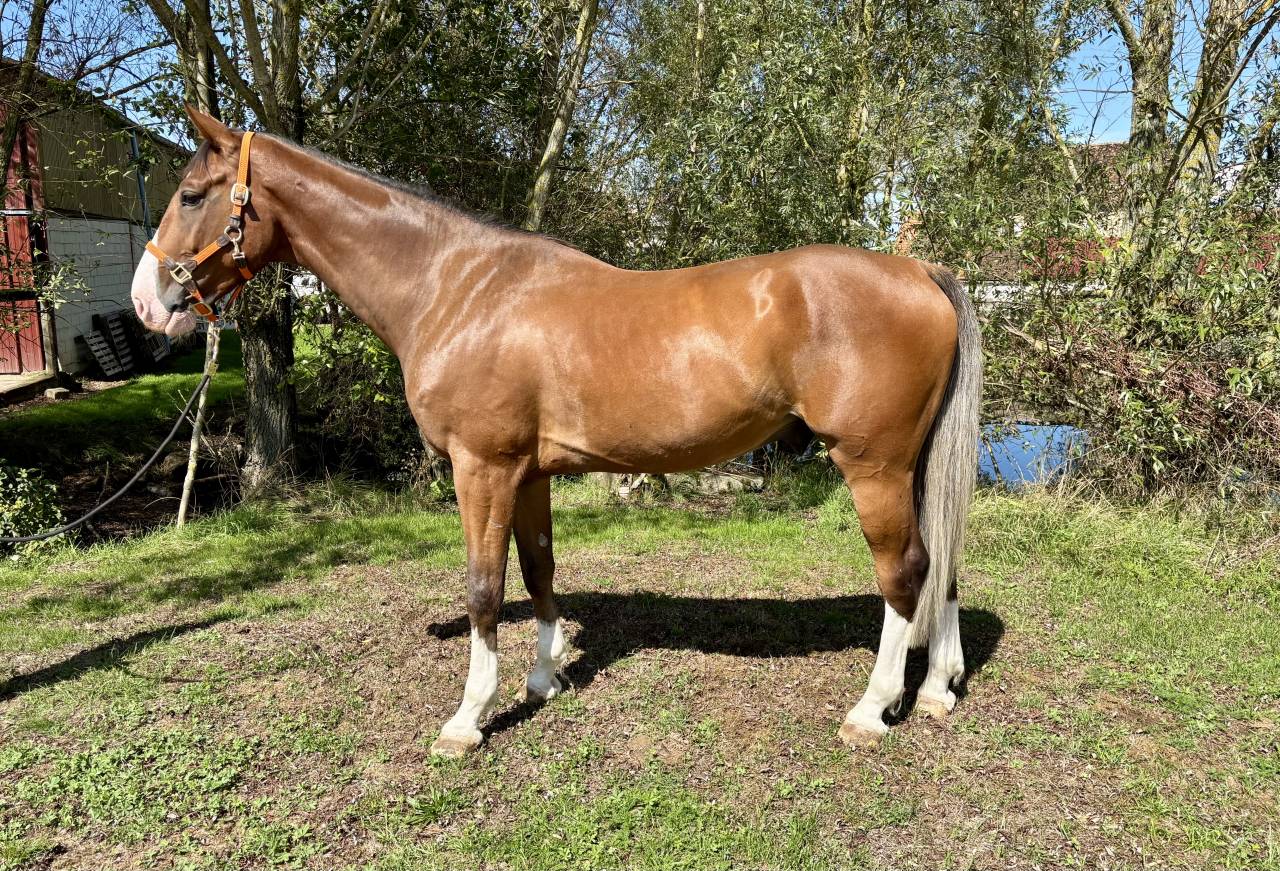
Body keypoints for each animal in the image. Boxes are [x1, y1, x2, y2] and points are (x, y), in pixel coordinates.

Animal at [132, 107, 981, 757]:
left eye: (191, 192)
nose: (145, 302)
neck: (456, 285)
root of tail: (920, 271)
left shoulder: (481, 467)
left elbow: (484, 586)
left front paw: (468, 718)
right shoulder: (529, 471)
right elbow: (539, 569)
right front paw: (545, 676)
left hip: (872, 465)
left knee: (905, 571)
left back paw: (872, 708)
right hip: (911, 465)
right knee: (941, 562)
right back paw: (937, 689)